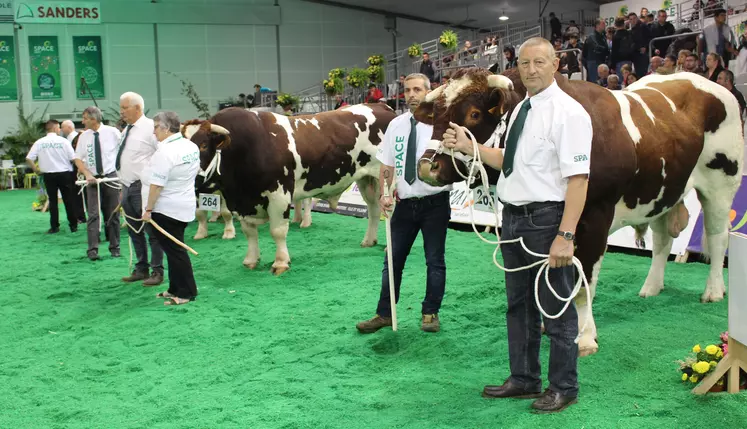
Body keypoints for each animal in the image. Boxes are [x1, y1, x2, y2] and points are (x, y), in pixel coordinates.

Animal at [182, 102, 398, 272]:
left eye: (203, 145)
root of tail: (381, 106)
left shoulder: (279, 194)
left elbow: (277, 231)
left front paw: (280, 262)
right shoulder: (243, 203)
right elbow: (249, 232)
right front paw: (251, 260)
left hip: (388, 178)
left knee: (392, 210)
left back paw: (389, 247)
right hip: (366, 179)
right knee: (373, 208)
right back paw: (369, 241)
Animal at [414, 67, 744, 354]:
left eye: (474, 114)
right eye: (436, 116)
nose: (427, 167)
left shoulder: (596, 217)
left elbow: (583, 282)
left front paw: (584, 337)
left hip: (721, 183)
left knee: (717, 237)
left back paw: (713, 290)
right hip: (664, 191)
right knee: (663, 240)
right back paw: (651, 287)